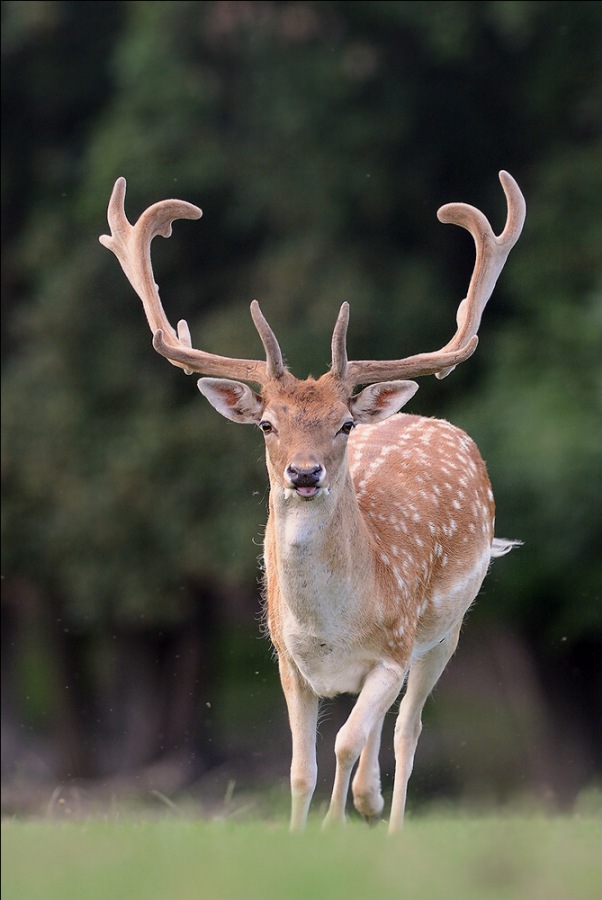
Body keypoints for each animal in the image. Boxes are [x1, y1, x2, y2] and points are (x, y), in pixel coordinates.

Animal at [100, 170, 525, 834]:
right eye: (267, 424)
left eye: (344, 423)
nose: (304, 474)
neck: (332, 629)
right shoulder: (288, 660)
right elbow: (302, 766)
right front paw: (304, 833)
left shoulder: (393, 652)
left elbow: (347, 741)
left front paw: (332, 830)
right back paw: (369, 800)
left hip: (445, 631)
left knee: (407, 730)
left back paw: (388, 822)